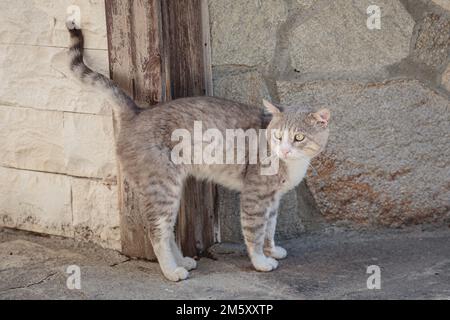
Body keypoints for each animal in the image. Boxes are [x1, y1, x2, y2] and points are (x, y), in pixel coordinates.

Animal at [67, 26, 328, 282]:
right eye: (278, 136)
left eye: (298, 138)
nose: (284, 149)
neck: (292, 163)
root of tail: (138, 113)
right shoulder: (255, 196)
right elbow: (255, 231)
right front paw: (261, 262)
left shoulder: (273, 199)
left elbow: (270, 228)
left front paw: (271, 250)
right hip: (163, 188)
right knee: (157, 231)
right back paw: (172, 271)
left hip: (169, 190)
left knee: (168, 230)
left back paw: (181, 261)